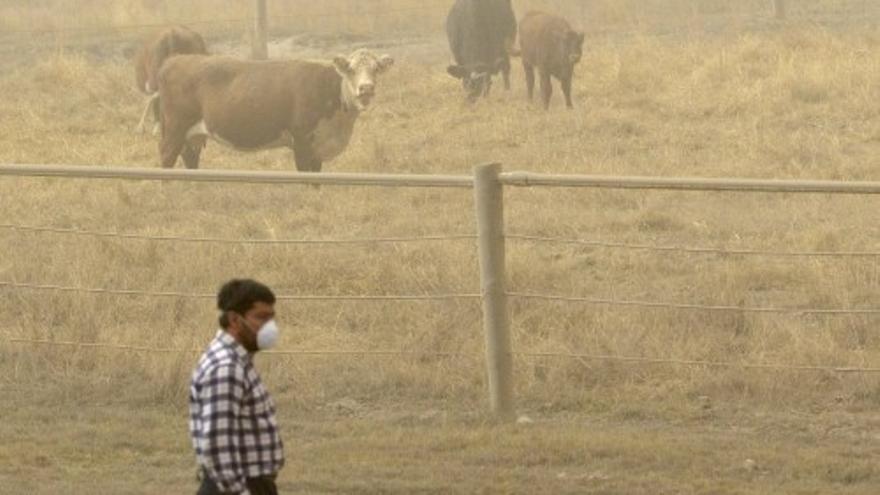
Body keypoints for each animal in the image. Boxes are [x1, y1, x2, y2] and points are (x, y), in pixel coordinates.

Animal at [156, 49, 394, 171]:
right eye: (351, 70)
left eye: (376, 69)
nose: (366, 88)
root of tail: (175, 59)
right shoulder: (302, 140)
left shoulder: (318, 146)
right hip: (175, 128)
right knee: (167, 157)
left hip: (192, 134)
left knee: (190, 157)